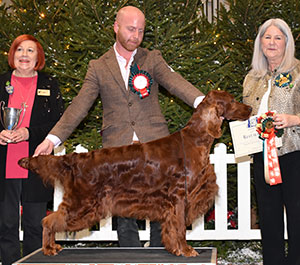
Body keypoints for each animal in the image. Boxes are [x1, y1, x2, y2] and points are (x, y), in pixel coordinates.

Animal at [18, 89, 252, 256]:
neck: (195, 139)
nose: (250, 108)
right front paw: (186, 250)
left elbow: (171, 228)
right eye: (232, 101)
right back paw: (49, 248)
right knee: (49, 221)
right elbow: (180, 228)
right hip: (82, 203)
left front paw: (175, 249)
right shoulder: (179, 197)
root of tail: (75, 159)